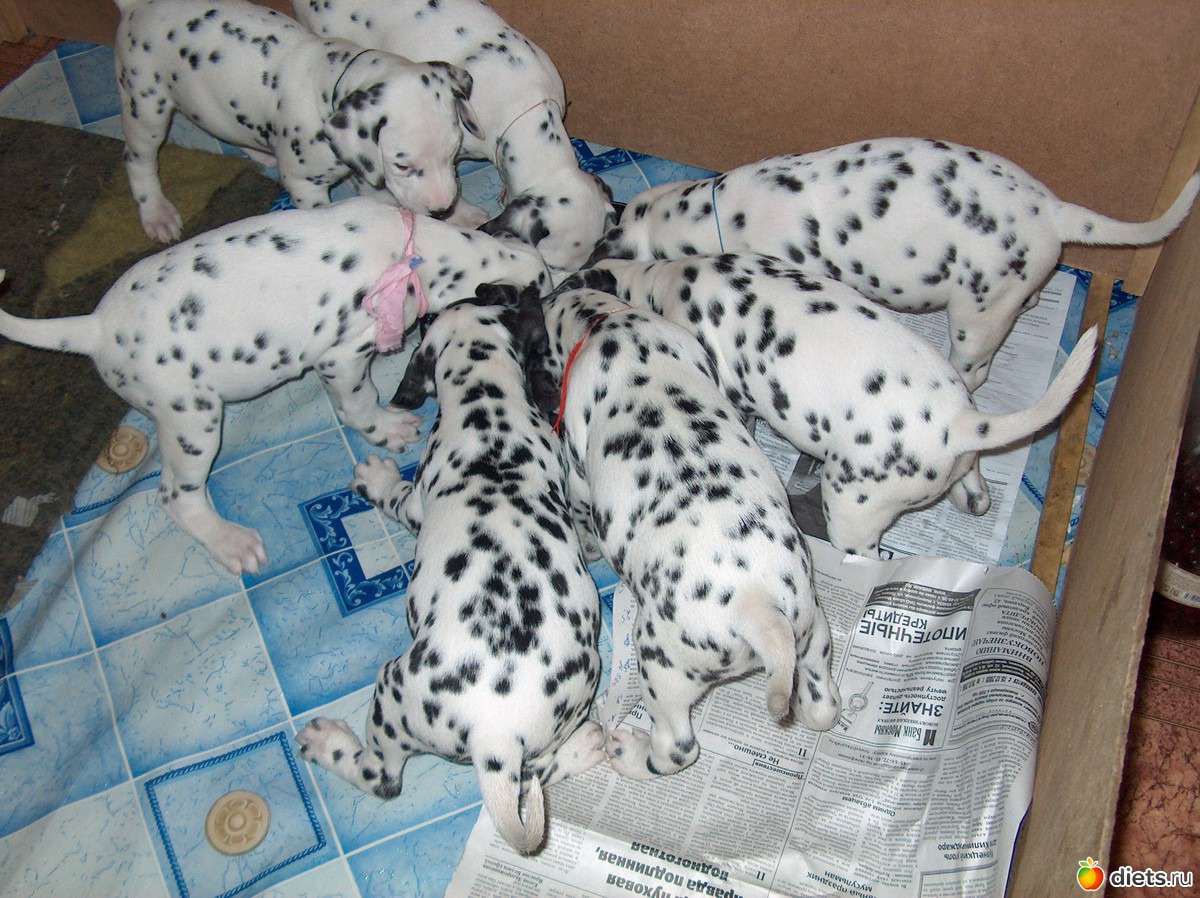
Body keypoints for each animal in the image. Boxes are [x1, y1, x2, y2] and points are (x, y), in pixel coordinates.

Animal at [0, 197, 550, 575]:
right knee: (176, 496)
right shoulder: (344, 357)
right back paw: (230, 541)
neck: (418, 254)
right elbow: (360, 402)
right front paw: (387, 427)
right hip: (192, 418)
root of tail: (94, 328)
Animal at [114, 0, 484, 242]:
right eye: (403, 165)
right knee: (137, 160)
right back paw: (156, 212)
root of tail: (138, 6)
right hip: (146, 104)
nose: (441, 210)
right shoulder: (306, 185)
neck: (328, 84)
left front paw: (462, 212)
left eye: (454, 154)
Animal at [297, 288, 603, 854]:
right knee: (540, 773)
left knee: (382, 776)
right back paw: (586, 747)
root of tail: (496, 738)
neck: (488, 402)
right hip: (573, 700)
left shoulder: (417, 503)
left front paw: (377, 480)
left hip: (391, 691)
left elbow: (399, 498)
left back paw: (328, 742)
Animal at [535, 284, 841, 779]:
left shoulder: (577, 471)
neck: (608, 325)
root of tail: (758, 608)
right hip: (813, 632)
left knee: (676, 749)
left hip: (661, 667)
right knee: (822, 707)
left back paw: (628, 751)